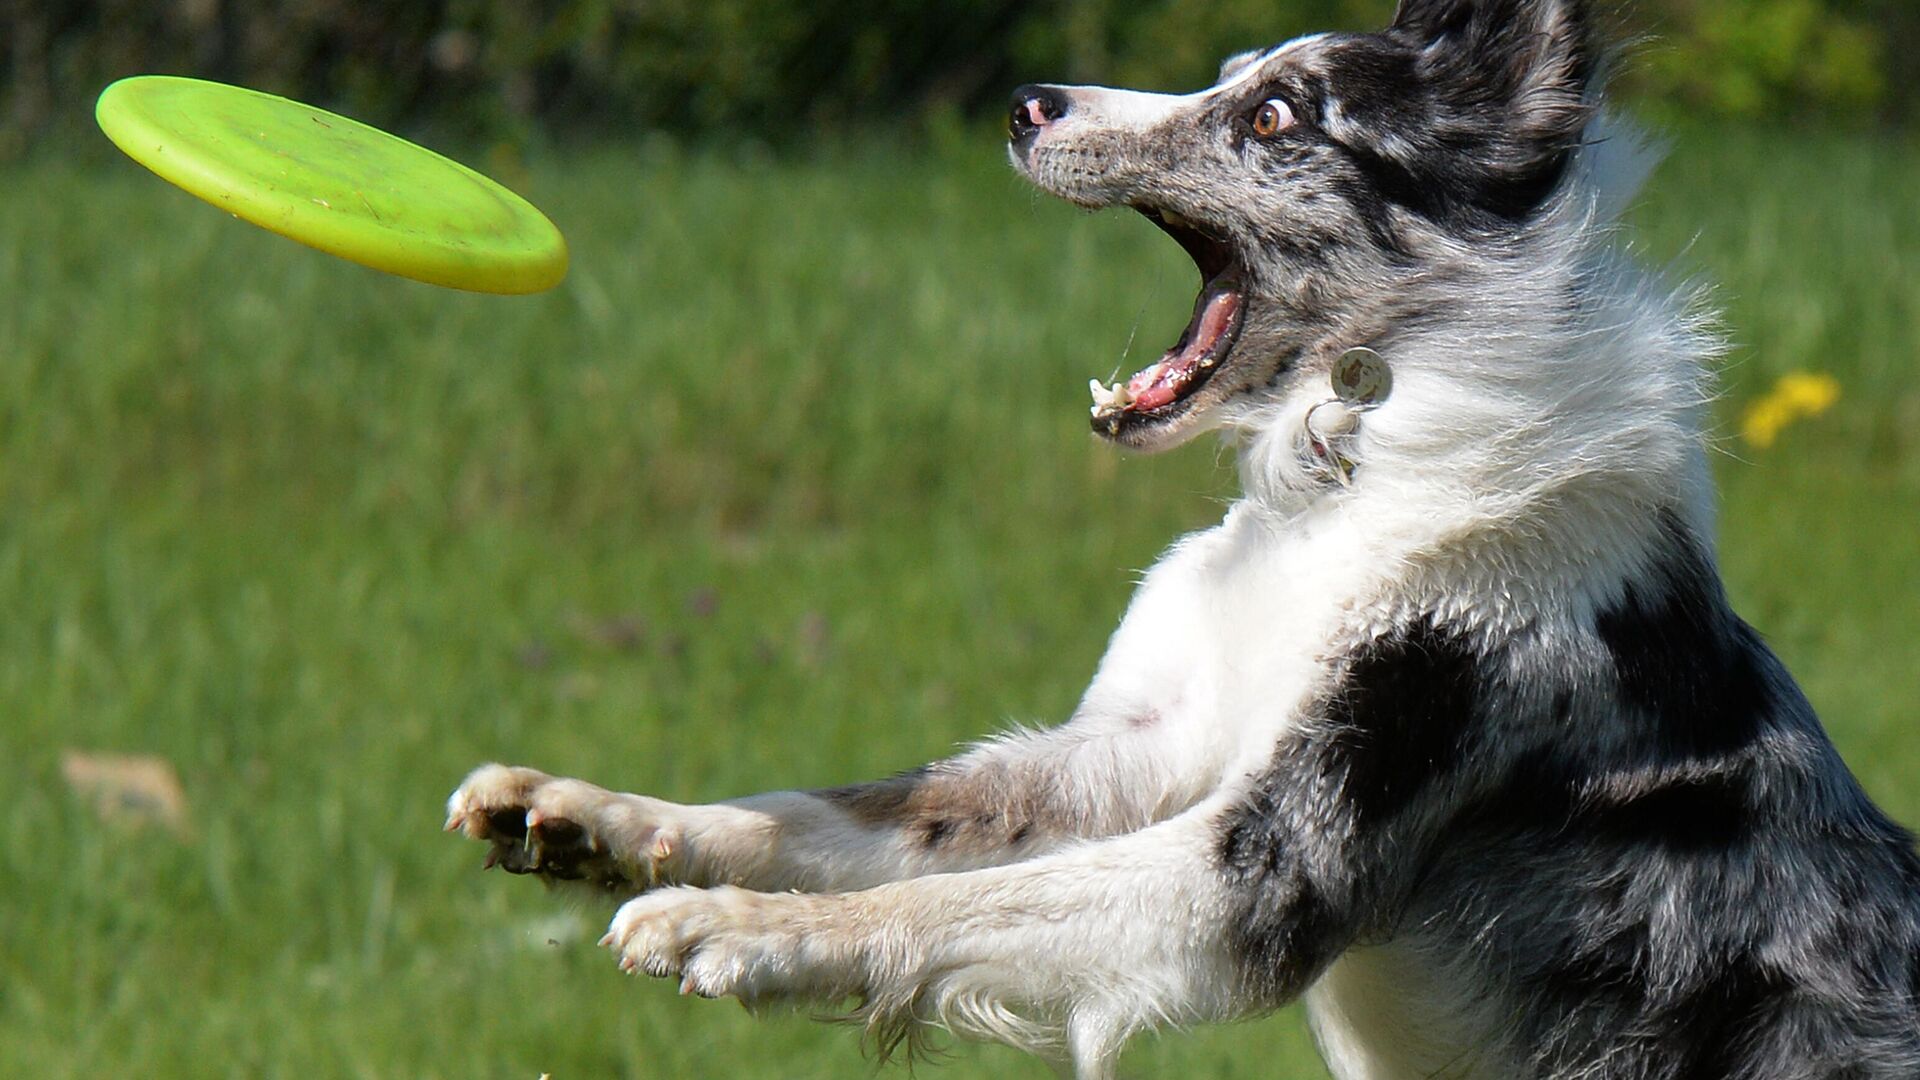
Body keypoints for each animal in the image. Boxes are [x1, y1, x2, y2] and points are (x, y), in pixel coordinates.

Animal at [445, 4, 1920, 1068]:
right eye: (1228, 75)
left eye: (1272, 114)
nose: (1028, 101)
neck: (1349, 477)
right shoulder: (1123, 755)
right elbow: (845, 815)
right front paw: (593, 819)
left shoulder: (1260, 866)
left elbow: (937, 907)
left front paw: (730, 929)